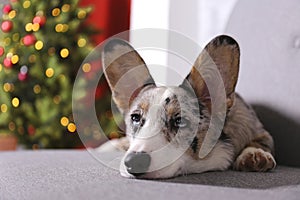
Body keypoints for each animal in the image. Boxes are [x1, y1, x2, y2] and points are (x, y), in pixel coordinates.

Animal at [99, 35, 276, 179]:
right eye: (135, 118)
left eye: (180, 121)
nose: (132, 163)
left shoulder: (260, 131)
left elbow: (260, 142)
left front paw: (254, 154)